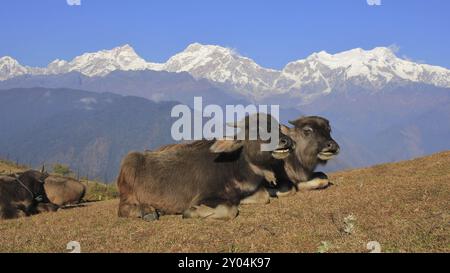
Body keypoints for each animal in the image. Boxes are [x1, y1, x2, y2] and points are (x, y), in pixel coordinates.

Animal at [116, 113, 294, 220]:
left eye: (278, 127)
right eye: (258, 130)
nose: (287, 141)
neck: (234, 167)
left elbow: (264, 196)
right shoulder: (203, 197)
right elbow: (229, 210)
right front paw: (192, 212)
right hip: (128, 181)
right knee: (122, 209)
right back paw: (148, 211)